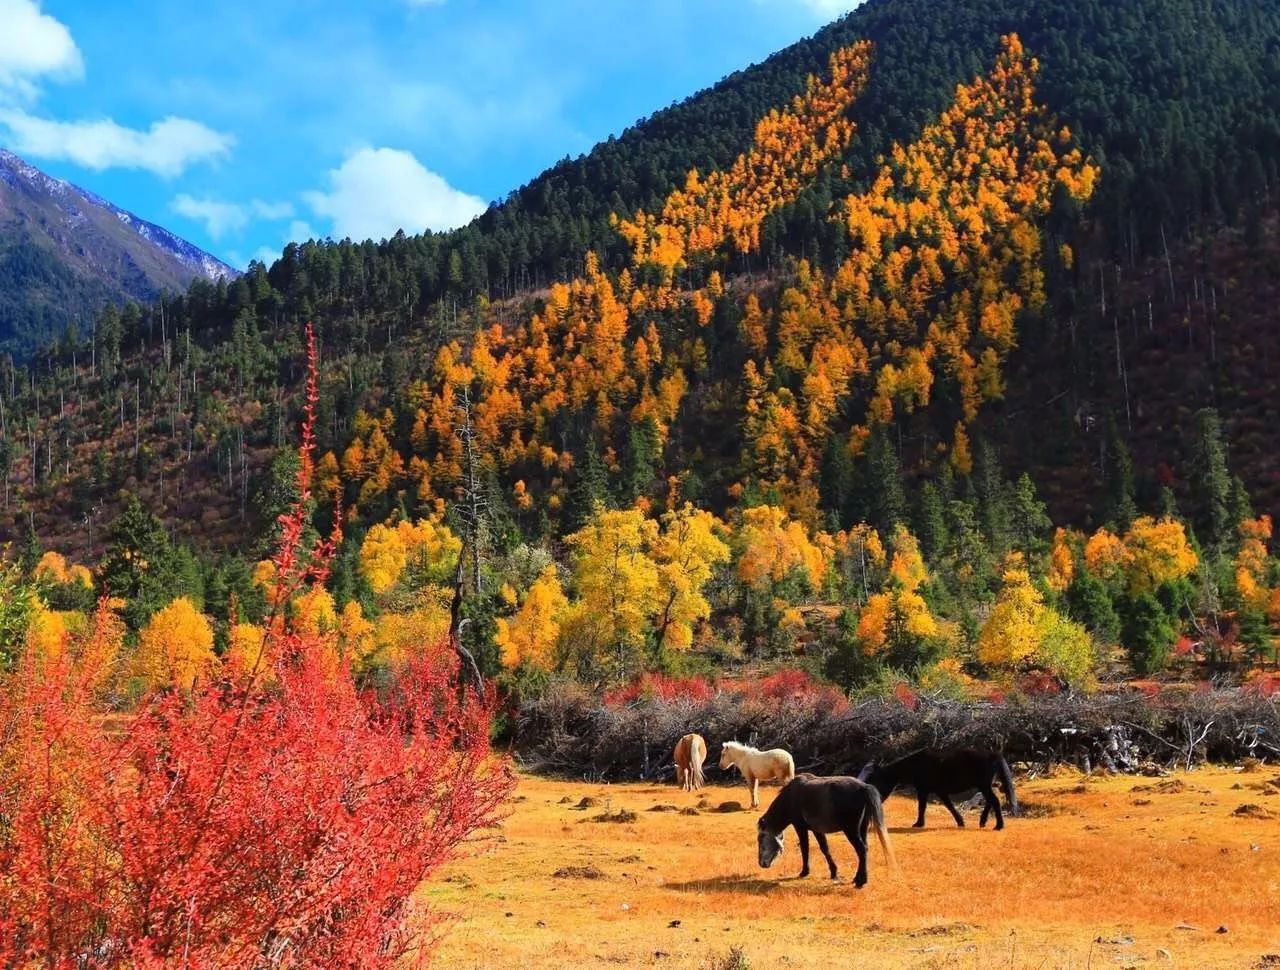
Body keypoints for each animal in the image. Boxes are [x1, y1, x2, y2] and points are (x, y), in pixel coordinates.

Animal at [752, 772, 896, 890]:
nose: (761, 863)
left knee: (862, 850)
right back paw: (857, 878)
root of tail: (863, 787)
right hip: (862, 829)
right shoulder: (817, 830)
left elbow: (805, 848)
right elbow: (825, 849)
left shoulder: (800, 827)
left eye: (761, 838)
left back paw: (861, 882)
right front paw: (834, 872)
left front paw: (804, 872)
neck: (790, 797)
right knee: (864, 851)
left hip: (851, 831)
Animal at [860, 747, 1018, 834]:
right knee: (991, 800)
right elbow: (950, 807)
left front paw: (918, 824)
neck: (915, 765)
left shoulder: (924, 790)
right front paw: (961, 822)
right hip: (984, 785)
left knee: (994, 801)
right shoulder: (940, 791)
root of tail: (995, 754)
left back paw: (998, 826)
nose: (873, 799)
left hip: (984, 785)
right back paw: (983, 821)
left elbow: (922, 807)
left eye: (875, 780)